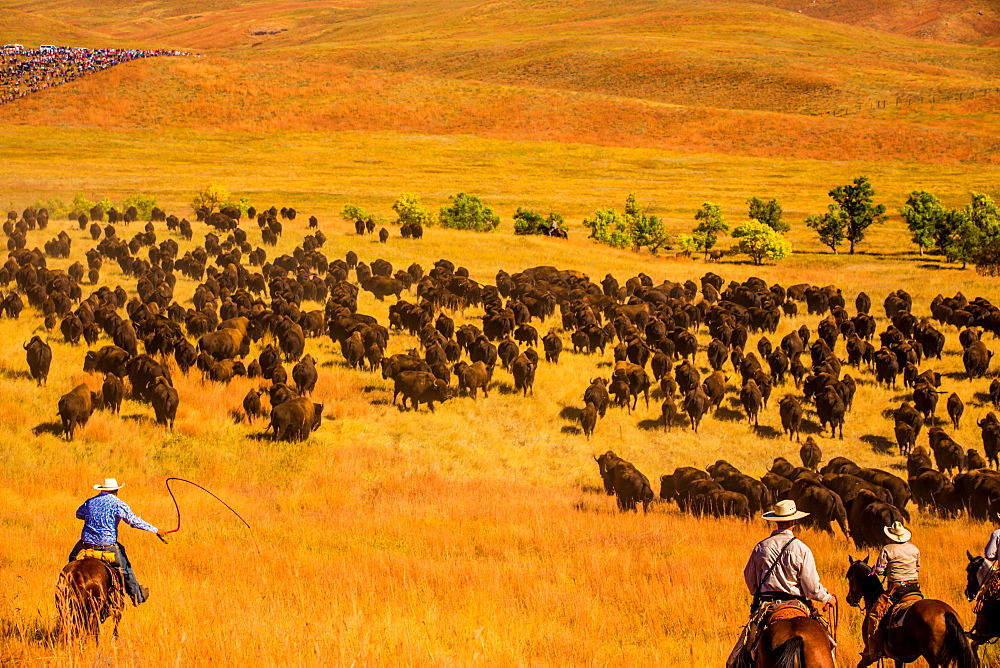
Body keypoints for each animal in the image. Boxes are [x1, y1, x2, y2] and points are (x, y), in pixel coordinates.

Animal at [844, 552, 976, 668]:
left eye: (849, 577)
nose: (849, 598)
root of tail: (945, 613)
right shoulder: (899, 657)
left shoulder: (870, 655)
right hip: (945, 659)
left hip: (933, 659)